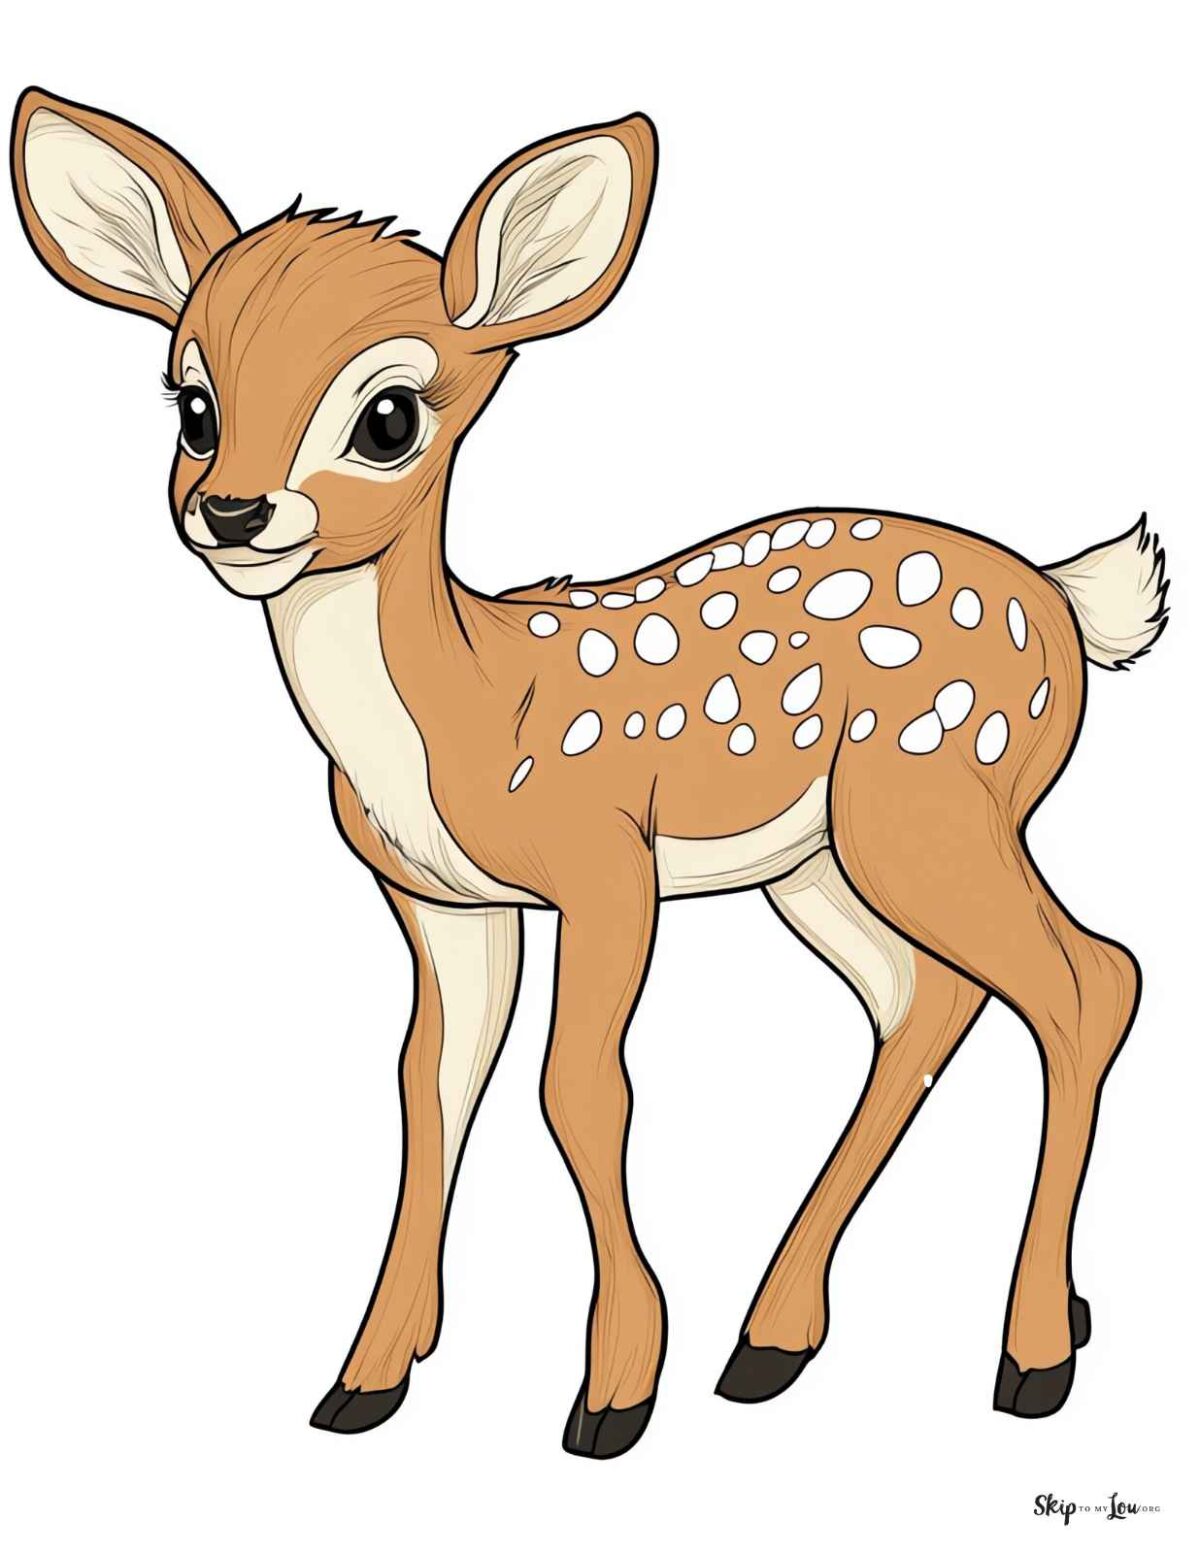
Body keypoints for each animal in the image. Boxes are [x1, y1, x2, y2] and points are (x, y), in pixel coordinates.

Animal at [11, 86, 1169, 1460]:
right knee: (926, 999)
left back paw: (1032, 1353)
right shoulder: (443, 901)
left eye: (389, 415)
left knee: (1089, 979)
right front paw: (368, 1377)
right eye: (192, 402)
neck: (464, 709)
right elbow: (429, 1087)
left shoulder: (605, 859)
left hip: (935, 794)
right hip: (822, 858)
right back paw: (775, 1339)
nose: (233, 513)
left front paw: (614, 1389)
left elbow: (581, 1089)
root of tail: (1067, 602)